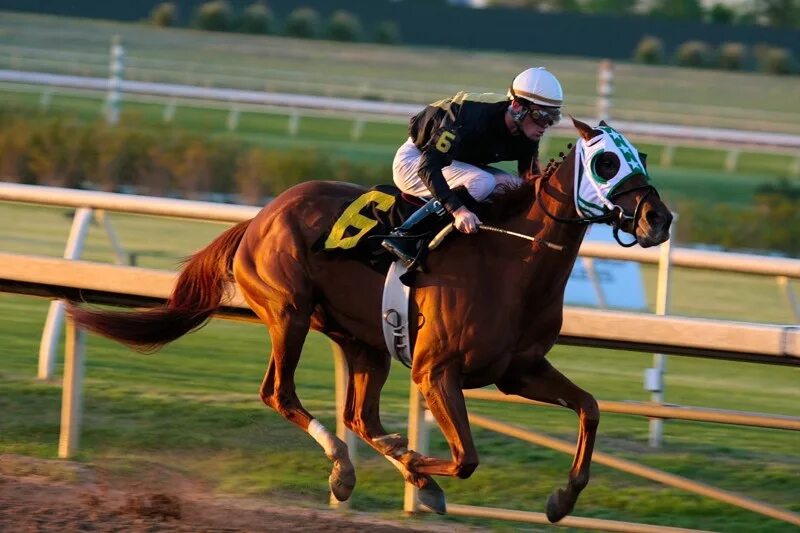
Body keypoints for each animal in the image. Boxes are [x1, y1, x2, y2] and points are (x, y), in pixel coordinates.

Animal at [69, 118, 672, 520]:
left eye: (639, 155)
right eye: (607, 162)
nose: (658, 218)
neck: (510, 259)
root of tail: (260, 216)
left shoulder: (517, 370)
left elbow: (589, 409)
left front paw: (560, 498)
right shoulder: (435, 371)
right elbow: (465, 458)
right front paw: (419, 471)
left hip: (366, 341)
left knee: (359, 415)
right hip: (288, 312)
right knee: (279, 393)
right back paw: (344, 468)